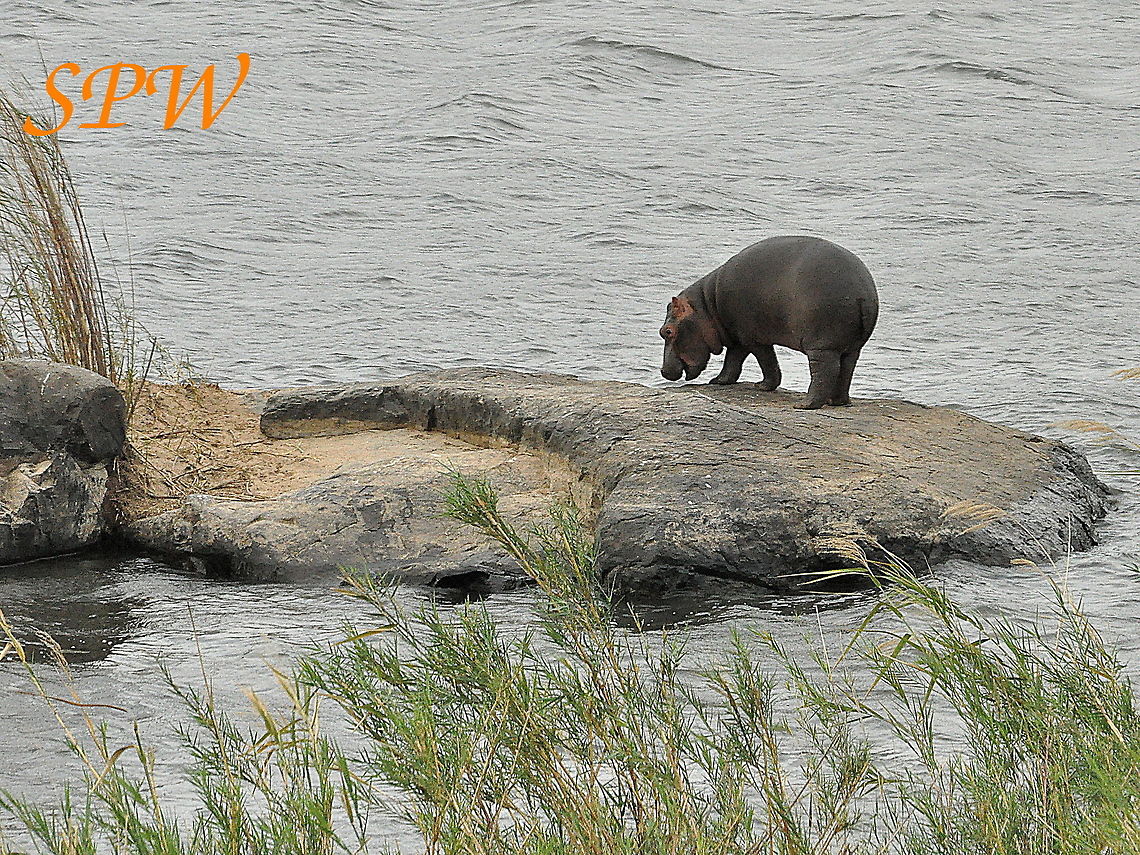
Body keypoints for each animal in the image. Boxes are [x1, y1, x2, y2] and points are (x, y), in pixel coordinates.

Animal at [659, 235, 878, 409]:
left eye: (667, 331)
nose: (662, 371)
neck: (707, 306)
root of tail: (862, 294)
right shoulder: (738, 337)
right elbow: (733, 361)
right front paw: (718, 381)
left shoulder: (753, 338)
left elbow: (765, 361)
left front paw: (762, 386)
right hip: (852, 346)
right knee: (847, 368)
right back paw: (837, 402)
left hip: (822, 346)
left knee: (826, 371)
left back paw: (805, 405)